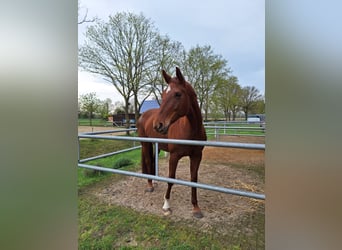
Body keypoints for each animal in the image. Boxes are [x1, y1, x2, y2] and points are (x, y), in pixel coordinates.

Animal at [138, 67, 207, 218]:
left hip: (156, 146)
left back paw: (155, 181)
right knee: (148, 160)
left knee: (153, 160)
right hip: (145, 144)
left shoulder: (197, 156)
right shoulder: (174, 156)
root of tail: (144, 115)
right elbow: (171, 178)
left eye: (177, 94)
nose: (158, 125)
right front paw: (166, 205)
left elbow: (194, 179)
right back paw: (150, 185)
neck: (190, 130)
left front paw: (196, 208)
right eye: (163, 95)